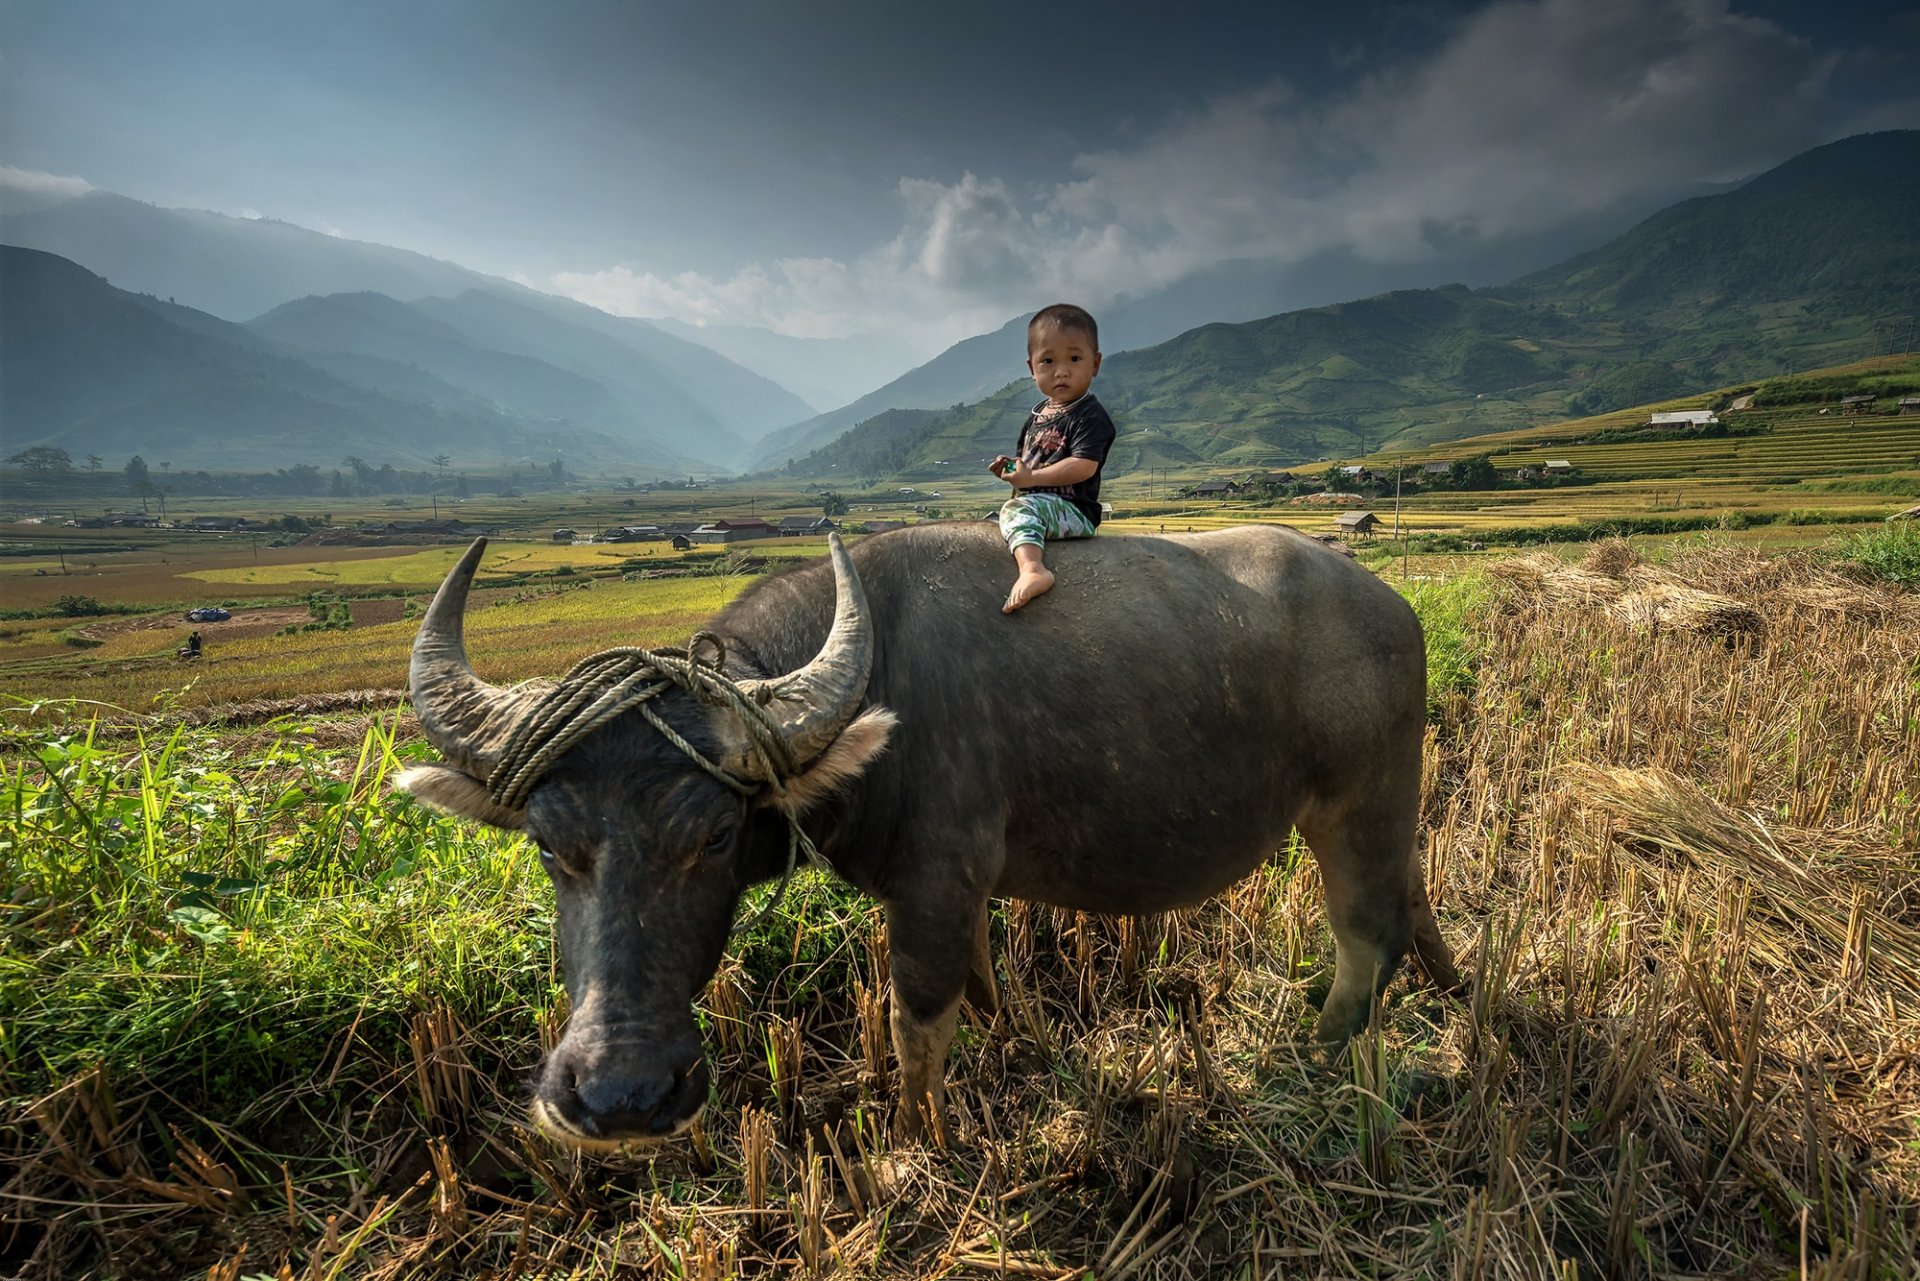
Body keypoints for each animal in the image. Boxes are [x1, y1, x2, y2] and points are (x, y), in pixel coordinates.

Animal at [398, 524, 1460, 1149]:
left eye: (713, 834)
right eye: (548, 843)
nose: (621, 1095)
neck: (878, 689)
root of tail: (1393, 608)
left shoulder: (936, 884)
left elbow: (917, 1021)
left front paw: (913, 1137)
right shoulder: (963, 890)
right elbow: (983, 989)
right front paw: (1020, 1051)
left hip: (1354, 805)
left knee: (1367, 933)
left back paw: (1321, 1050)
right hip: (1393, 801)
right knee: (1413, 893)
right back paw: (1456, 990)